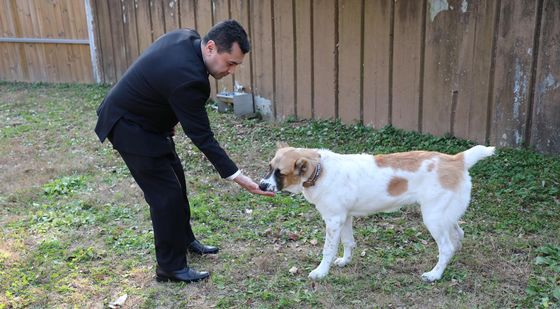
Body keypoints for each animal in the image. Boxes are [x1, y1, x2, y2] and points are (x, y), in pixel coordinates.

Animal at [260, 143, 494, 280]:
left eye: (280, 173)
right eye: (269, 167)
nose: (261, 185)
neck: (320, 170)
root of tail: (457, 160)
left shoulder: (333, 220)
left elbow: (328, 250)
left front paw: (321, 272)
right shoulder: (345, 217)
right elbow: (348, 242)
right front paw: (345, 261)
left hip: (434, 218)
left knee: (446, 247)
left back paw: (435, 274)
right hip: (446, 216)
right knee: (458, 236)